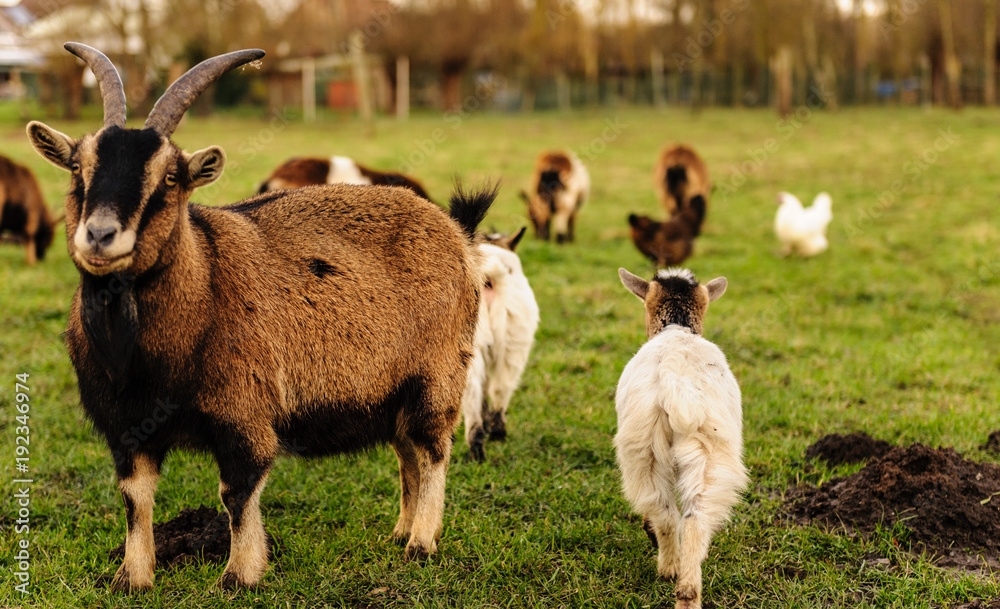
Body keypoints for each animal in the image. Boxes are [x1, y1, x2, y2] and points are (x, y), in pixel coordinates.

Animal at [615, 267, 747, 609]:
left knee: (666, 513)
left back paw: (669, 570)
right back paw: (686, 590)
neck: (676, 329)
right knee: (691, 518)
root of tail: (676, 377)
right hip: (705, 448)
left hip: (644, 448)